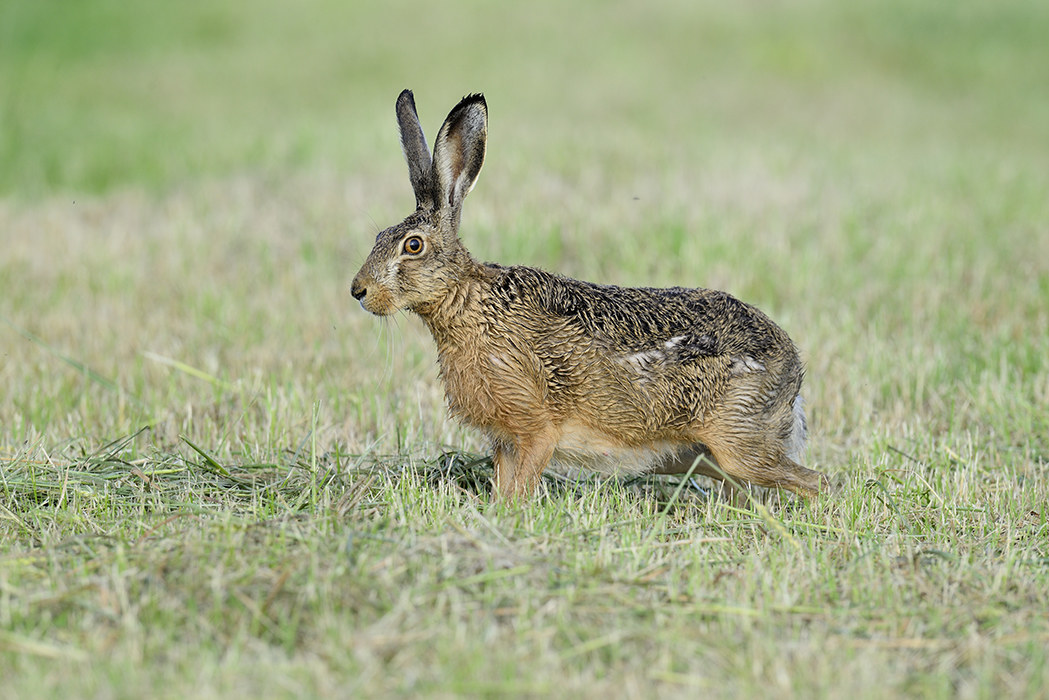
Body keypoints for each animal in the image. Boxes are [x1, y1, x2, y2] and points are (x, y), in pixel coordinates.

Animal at [351, 90, 829, 500]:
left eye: (413, 246)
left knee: (816, 481)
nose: (359, 291)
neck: (467, 302)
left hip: (738, 443)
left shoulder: (535, 428)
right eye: (378, 237)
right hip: (698, 456)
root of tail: (793, 370)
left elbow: (521, 485)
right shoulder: (505, 438)